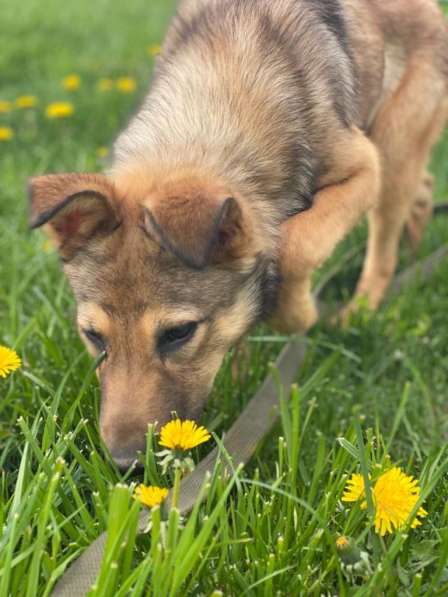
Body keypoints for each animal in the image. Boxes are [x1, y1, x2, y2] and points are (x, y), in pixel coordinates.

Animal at [28, 0, 448, 466]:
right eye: (93, 337)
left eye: (178, 334)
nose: (125, 463)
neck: (217, 100)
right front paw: (241, 363)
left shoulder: (362, 169)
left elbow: (294, 247)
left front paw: (298, 313)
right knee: (422, 189)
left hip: (392, 149)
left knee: (384, 243)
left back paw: (361, 309)